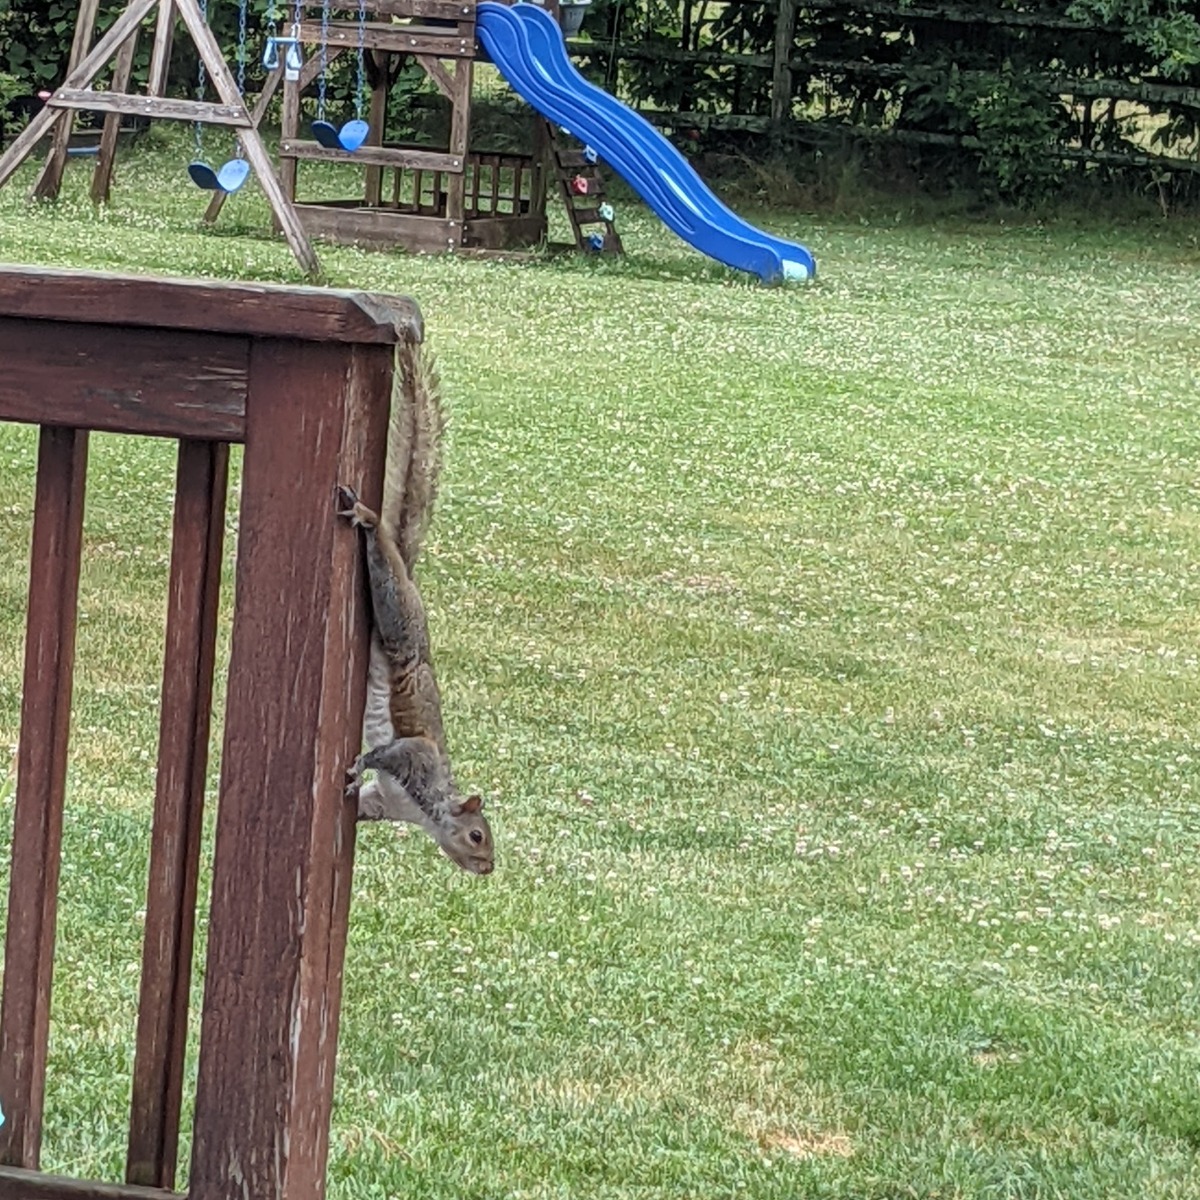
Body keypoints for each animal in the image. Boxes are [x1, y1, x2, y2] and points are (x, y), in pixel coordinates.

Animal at [338, 348, 492, 873]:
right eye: (478, 836)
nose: (488, 868)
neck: (429, 810)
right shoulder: (418, 760)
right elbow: (393, 751)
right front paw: (361, 761)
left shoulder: (385, 802)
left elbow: (366, 801)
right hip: (398, 619)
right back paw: (367, 519)